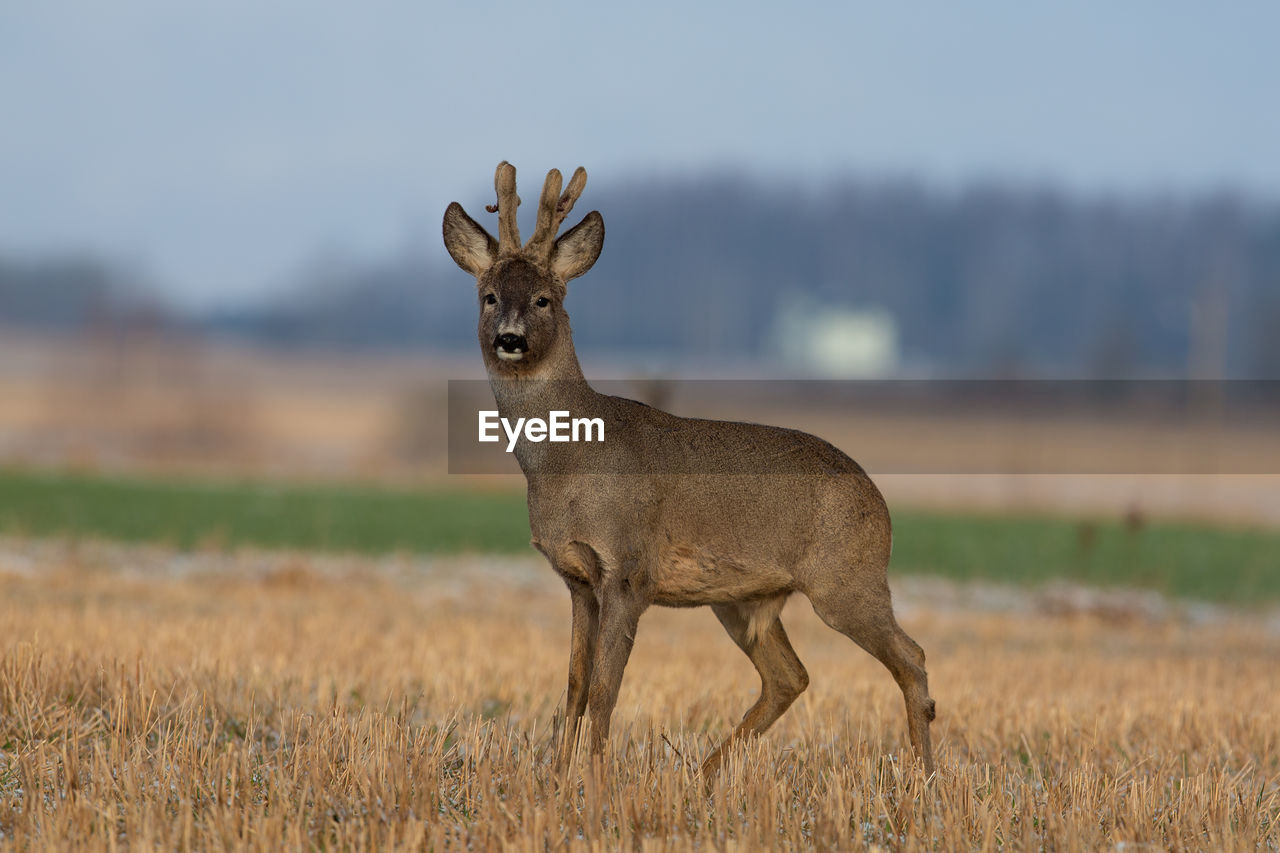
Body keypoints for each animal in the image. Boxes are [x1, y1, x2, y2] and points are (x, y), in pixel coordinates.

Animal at [445, 161, 936, 778]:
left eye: (542, 299)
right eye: (488, 296)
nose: (509, 339)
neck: (567, 463)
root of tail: (880, 501)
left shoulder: (629, 568)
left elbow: (607, 688)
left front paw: (596, 778)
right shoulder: (577, 577)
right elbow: (575, 686)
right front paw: (557, 777)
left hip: (847, 578)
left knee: (911, 657)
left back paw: (926, 778)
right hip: (742, 599)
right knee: (790, 676)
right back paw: (701, 777)